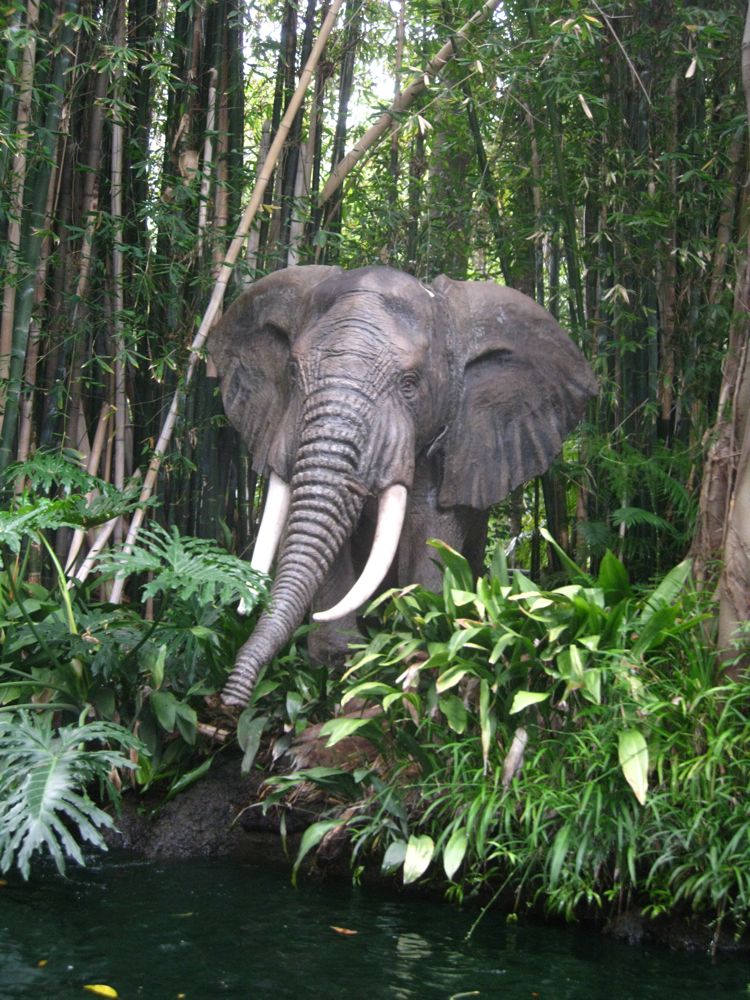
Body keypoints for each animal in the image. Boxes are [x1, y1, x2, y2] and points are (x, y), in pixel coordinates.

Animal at [209, 262, 596, 708]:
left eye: (410, 384)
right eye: (290, 371)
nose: (230, 702)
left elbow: (430, 526)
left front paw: (418, 647)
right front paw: (340, 660)